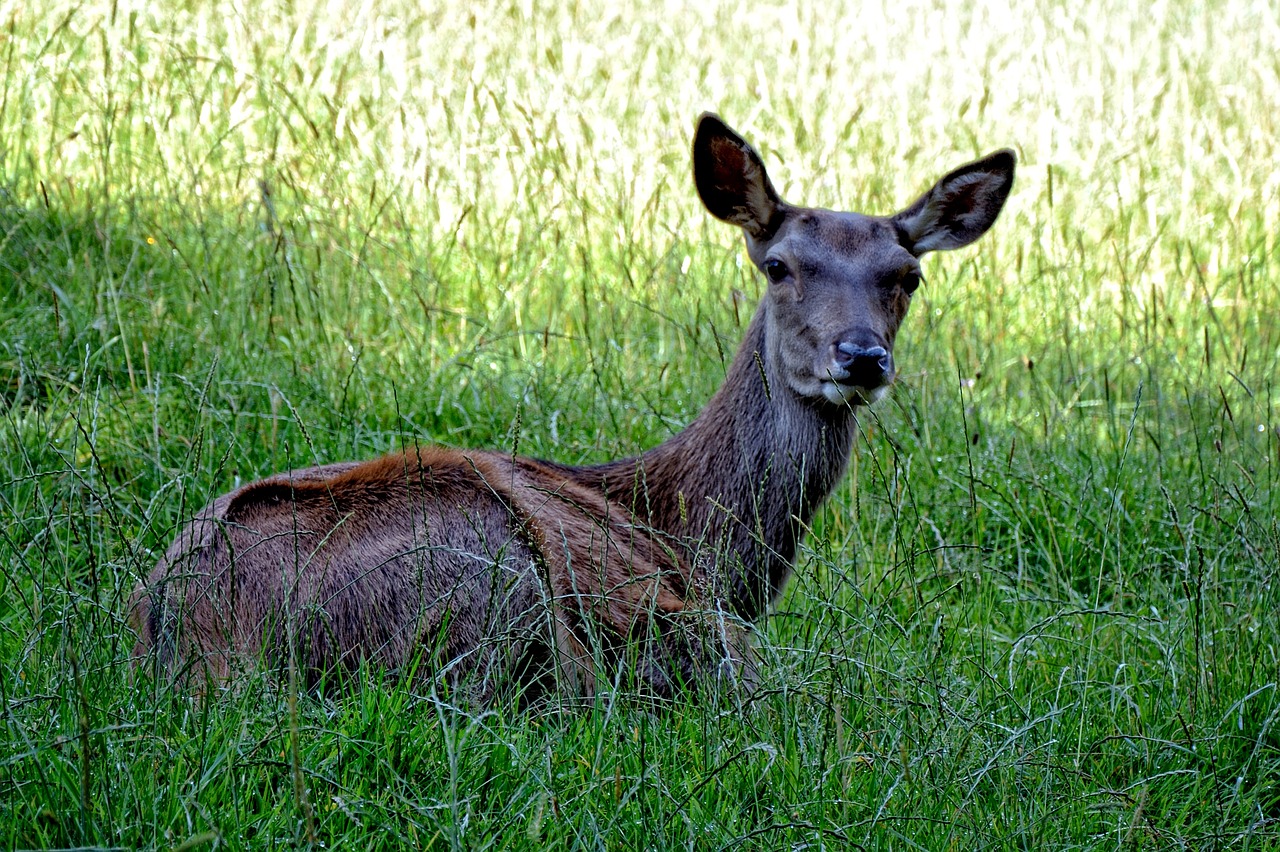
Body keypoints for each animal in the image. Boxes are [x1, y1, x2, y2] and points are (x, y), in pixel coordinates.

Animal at [129, 114, 1015, 705]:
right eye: (779, 266)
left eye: (907, 276)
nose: (860, 356)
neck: (688, 532)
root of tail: (193, 640)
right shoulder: (685, 614)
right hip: (488, 567)